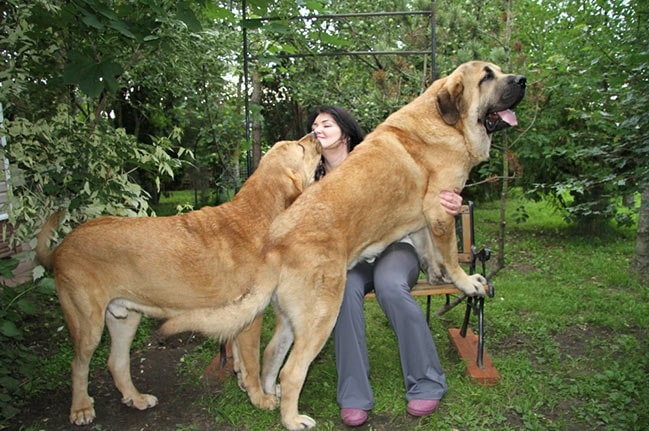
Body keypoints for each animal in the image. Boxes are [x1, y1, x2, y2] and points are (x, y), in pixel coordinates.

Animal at [34, 133, 322, 426]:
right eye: (300, 148)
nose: (315, 134)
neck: (260, 213)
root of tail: (61, 246)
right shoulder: (251, 317)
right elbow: (252, 362)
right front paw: (260, 398)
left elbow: (240, 359)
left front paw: (243, 383)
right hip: (88, 324)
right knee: (78, 366)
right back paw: (81, 408)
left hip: (124, 318)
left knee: (117, 363)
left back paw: (136, 399)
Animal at [161, 61, 528, 431]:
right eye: (486, 76)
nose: (522, 80)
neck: (445, 121)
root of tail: (275, 244)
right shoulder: (439, 209)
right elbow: (450, 253)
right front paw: (466, 282)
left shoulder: (423, 218)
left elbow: (428, 249)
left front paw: (437, 275)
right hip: (322, 315)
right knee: (293, 371)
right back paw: (293, 419)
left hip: (292, 318)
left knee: (271, 353)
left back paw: (269, 396)